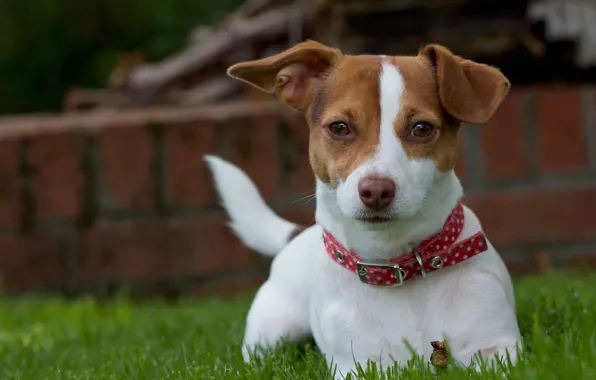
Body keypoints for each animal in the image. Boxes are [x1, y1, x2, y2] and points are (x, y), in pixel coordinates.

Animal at [205, 40, 520, 378]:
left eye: (421, 128)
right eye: (339, 127)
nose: (376, 190)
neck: (398, 267)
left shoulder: (497, 348)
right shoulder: (359, 365)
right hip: (271, 333)